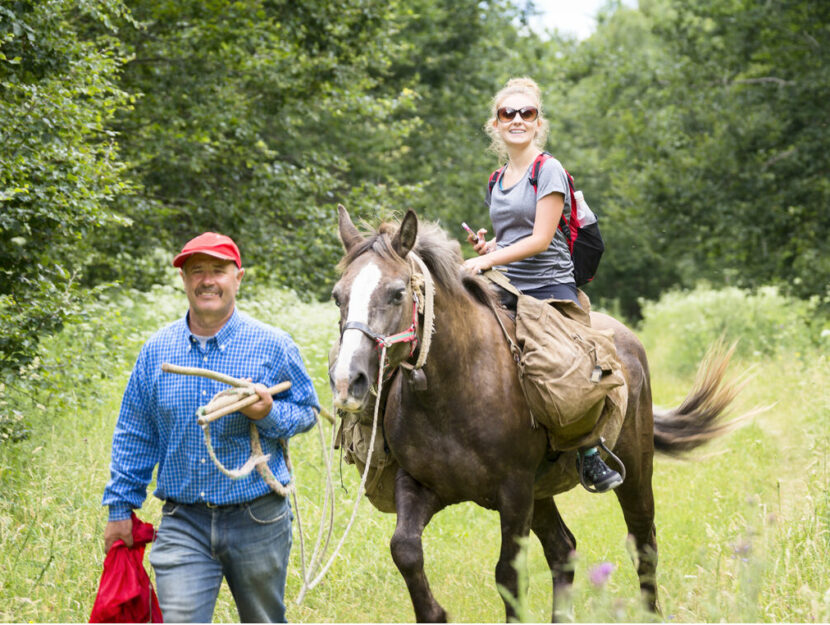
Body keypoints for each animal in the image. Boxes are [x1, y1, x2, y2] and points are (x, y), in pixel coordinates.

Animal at [330, 206, 748, 620]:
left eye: (397, 293)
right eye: (338, 296)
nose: (347, 380)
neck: (455, 388)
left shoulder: (514, 492)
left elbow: (508, 575)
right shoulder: (419, 484)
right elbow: (405, 550)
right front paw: (435, 611)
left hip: (634, 469)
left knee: (643, 542)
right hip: (543, 491)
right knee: (563, 548)